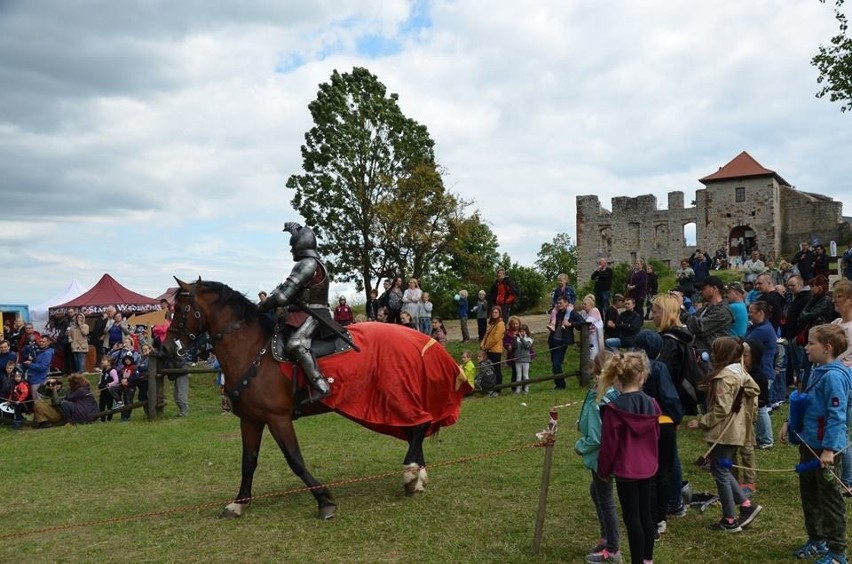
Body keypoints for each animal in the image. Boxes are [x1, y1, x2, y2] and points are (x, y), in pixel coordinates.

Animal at [161, 278, 472, 520]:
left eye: (182, 309)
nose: (166, 348)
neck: (251, 350)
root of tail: (421, 341)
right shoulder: (251, 420)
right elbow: (248, 461)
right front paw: (238, 503)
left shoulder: (278, 418)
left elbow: (295, 460)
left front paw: (324, 500)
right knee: (416, 430)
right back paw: (416, 479)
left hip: (397, 397)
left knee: (420, 425)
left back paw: (410, 473)